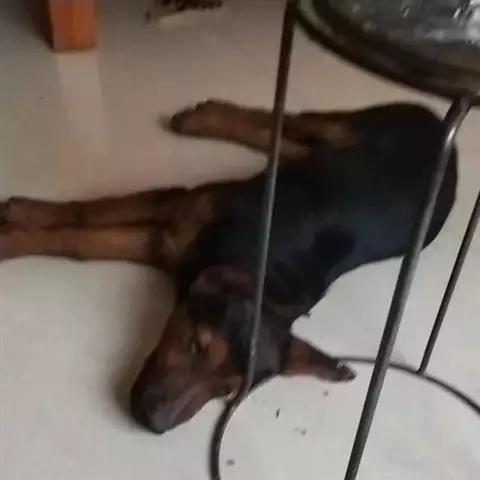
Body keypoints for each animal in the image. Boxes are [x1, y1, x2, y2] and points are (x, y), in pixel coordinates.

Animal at [0, 99, 457, 434]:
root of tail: (450, 150)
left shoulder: (166, 242)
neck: (264, 268)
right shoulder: (175, 210)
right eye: (194, 347)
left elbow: (79, 239)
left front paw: (18, 229)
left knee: (288, 144)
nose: (153, 425)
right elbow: (81, 220)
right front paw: (20, 220)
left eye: (225, 391)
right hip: (346, 129)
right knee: (291, 120)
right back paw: (203, 116)